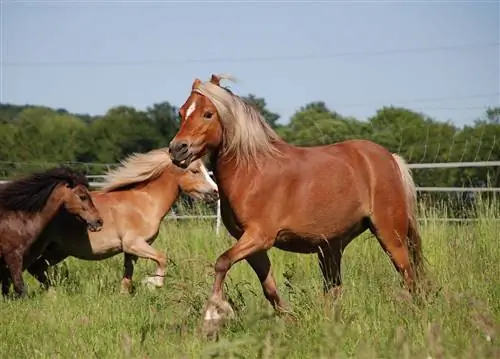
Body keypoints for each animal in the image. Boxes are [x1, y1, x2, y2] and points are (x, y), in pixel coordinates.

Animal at [26, 149, 219, 296]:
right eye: (194, 171)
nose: (215, 192)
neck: (143, 203)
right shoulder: (134, 244)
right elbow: (162, 258)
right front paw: (152, 283)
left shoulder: (131, 251)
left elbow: (127, 276)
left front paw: (124, 295)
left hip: (58, 250)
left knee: (36, 268)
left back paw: (53, 294)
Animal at [168, 73, 426, 338]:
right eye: (181, 112)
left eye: (208, 113)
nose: (177, 149)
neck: (251, 171)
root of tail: (390, 158)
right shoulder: (251, 245)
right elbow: (269, 288)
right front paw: (292, 321)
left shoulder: (259, 237)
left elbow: (221, 262)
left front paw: (211, 317)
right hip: (331, 248)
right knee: (334, 291)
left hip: (390, 235)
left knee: (409, 276)